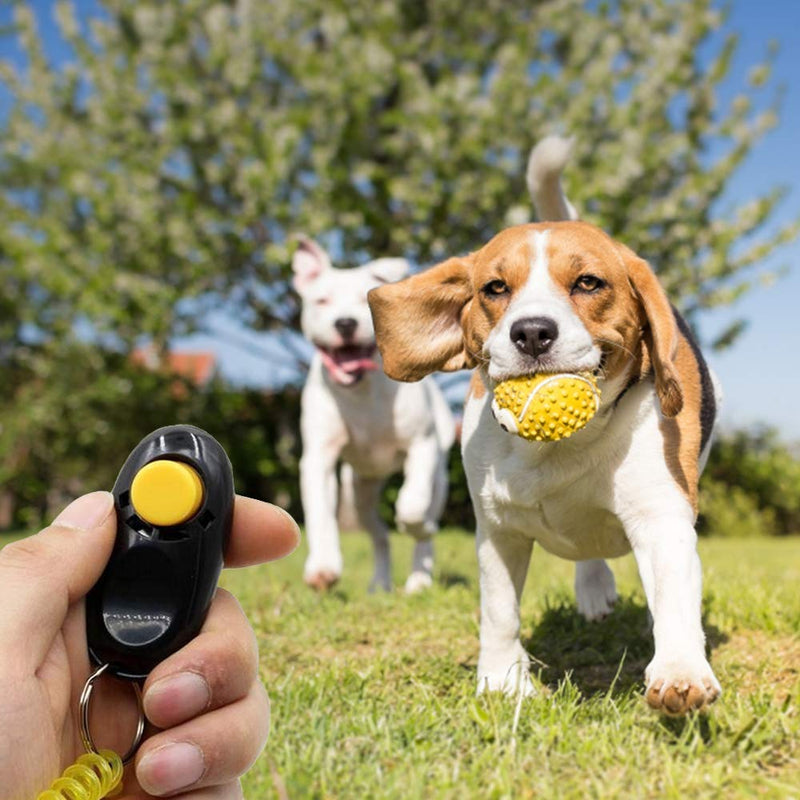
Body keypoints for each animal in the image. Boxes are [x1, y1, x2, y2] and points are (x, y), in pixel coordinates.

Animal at [292, 238, 456, 592]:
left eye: (364, 300)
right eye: (321, 300)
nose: (345, 323)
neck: (362, 391)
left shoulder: (421, 446)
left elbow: (412, 506)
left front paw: (416, 525)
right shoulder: (318, 459)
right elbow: (320, 514)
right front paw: (323, 567)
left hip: (439, 477)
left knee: (424, 523)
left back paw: (419, 579)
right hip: (359, 492)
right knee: (379, 535)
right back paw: (380, 583)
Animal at [368, 136, 720, 712]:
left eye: (588, 283)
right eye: (494, 288)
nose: (532, 332)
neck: (558, 448)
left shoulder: (661, 516)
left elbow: (672, 599)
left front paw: (679, 671)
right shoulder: (498, 530)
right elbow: (499, 612)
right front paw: (502, 681)